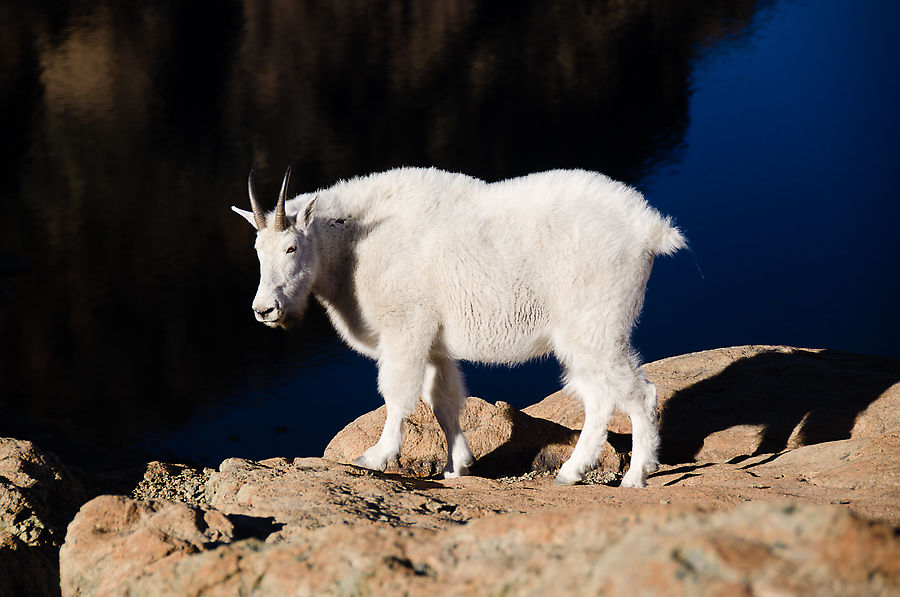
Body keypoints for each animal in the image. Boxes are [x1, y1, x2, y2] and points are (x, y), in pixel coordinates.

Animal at [232, 165, 684, 486]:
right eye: (256, 250)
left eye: (292, 247)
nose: (264, 310)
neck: (354, 246)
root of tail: (648, 229)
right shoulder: (433, 342)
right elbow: (443, 399)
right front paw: (458, 466)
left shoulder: (406, 329)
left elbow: (397, 394)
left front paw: (375, 457)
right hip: (579, 335)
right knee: (599, 397)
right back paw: (571, 472)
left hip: (598, 325)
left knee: (639, 394)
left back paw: (635, 477)